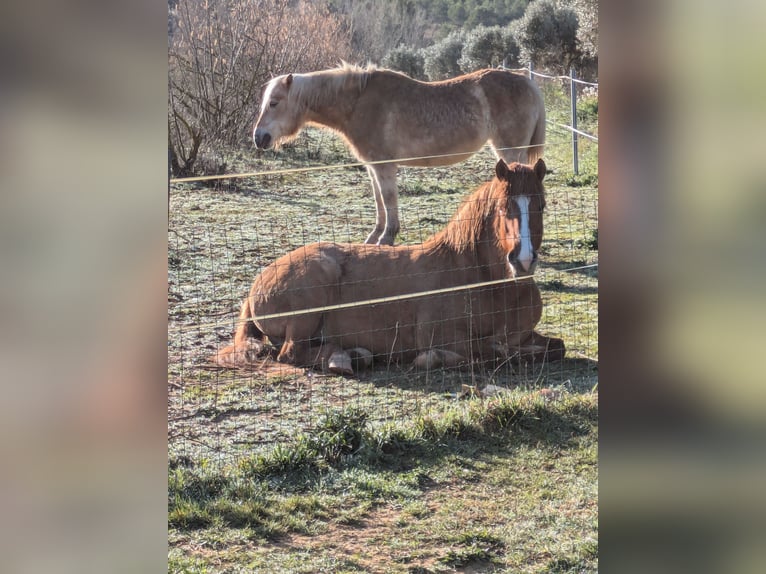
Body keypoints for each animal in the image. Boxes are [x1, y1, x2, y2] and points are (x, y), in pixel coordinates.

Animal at [214, 158, 564, 375]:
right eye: (504, 208)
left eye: (542, 205)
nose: (523, 260)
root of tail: (257, 283)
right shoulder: (446, 337)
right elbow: (491, 351)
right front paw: (431, 359)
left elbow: (554, 347)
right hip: (313, 290)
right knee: (289, 353)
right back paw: (343, 359)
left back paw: (353, 355)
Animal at [252, 63, 546, 246]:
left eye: (274, 103)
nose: (259, 138)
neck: (358, 102)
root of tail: (527, 82)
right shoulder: (373, 166)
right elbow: (379, 201)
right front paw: (375, 237)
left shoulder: (384, 165)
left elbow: (388, 198)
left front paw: (387, 237)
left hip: (510, 151)